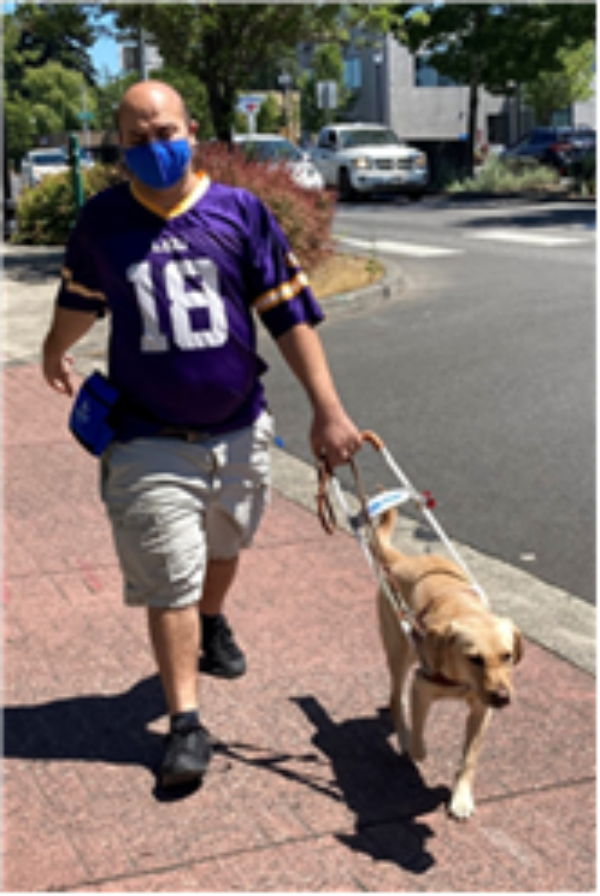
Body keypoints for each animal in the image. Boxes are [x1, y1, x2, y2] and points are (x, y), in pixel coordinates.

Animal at [372, 512, 524, 820]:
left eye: (507, 656)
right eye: (474, 658)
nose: (503, 698)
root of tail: (401, 559)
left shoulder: (482, 711)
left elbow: (469, 759)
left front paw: (461, 798)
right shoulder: (421, 689)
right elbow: (419, 740)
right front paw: (414, 747)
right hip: (399, 653)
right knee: (395, 696)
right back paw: (402, 733)